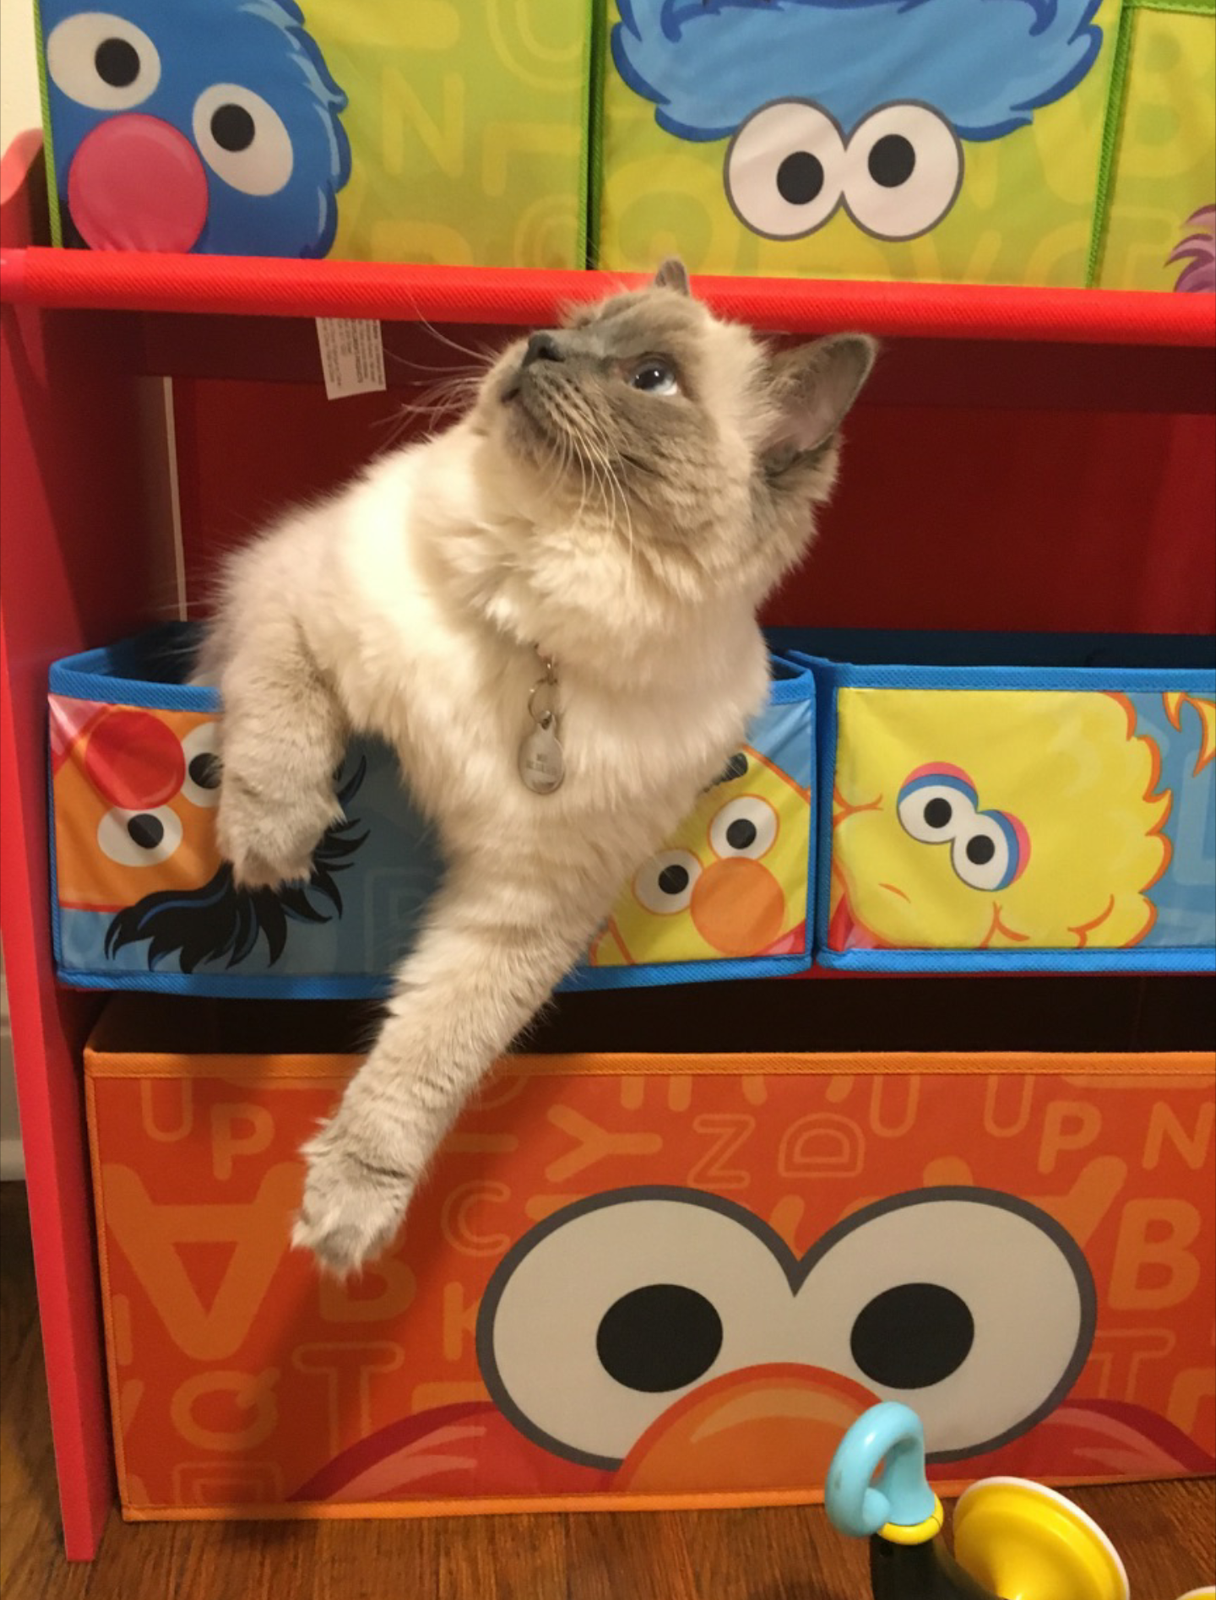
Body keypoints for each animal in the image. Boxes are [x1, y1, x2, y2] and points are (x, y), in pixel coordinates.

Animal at [198, 260, 874, 1275]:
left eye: (651, 380)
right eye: (575, 328)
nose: (541, 348)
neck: (531, 619)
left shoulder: (520, 909)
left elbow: (424, 1061)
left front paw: (348, 1217)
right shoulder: (292, 596)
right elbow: (283, 724)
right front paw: (276, 847)